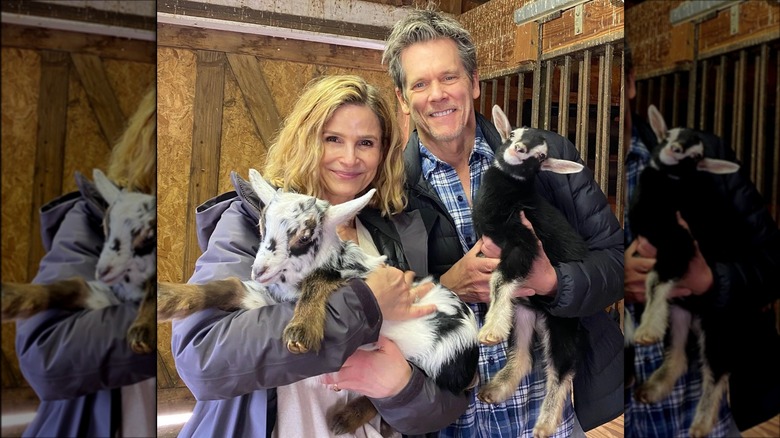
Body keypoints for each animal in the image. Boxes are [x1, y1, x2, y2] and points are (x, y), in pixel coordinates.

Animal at [1, 169, 157, 354]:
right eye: (104, 226)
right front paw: (10, 297)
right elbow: (74, 286)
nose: (102, 271)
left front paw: (142, 332)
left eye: (148, 236)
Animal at [155, 168, 478, 434]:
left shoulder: (345, 276)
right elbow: (230, 286)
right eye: (261, 224)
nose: (260, 271)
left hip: (437, 359)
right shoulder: (265, 298)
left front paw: (301, 332)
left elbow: (320, 279)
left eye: (303, 236)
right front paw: (169, 297)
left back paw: (344, 418)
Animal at [470, 105, 592, 438]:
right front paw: (492, 327)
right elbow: (498, 280)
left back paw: (544, 425)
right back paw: (494, 390)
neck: (510, 193)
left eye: (540, 157)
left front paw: (489, 331)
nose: (519, 149)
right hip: (523, 313)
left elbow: (500, 278)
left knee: (562, 370)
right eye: (512, 133)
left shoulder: (522, 241)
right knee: (523, 356)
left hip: (563, 325)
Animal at [628, 104, 744, 436]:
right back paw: (651, 389)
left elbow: (656, 279)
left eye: (696, 157)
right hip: (680, 312)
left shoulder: (678, 242)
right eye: (667, 135)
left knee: (717, 370)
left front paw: (646, 331)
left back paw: (700, 425)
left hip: (719, 322)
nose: (676, 150)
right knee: (678, 354)